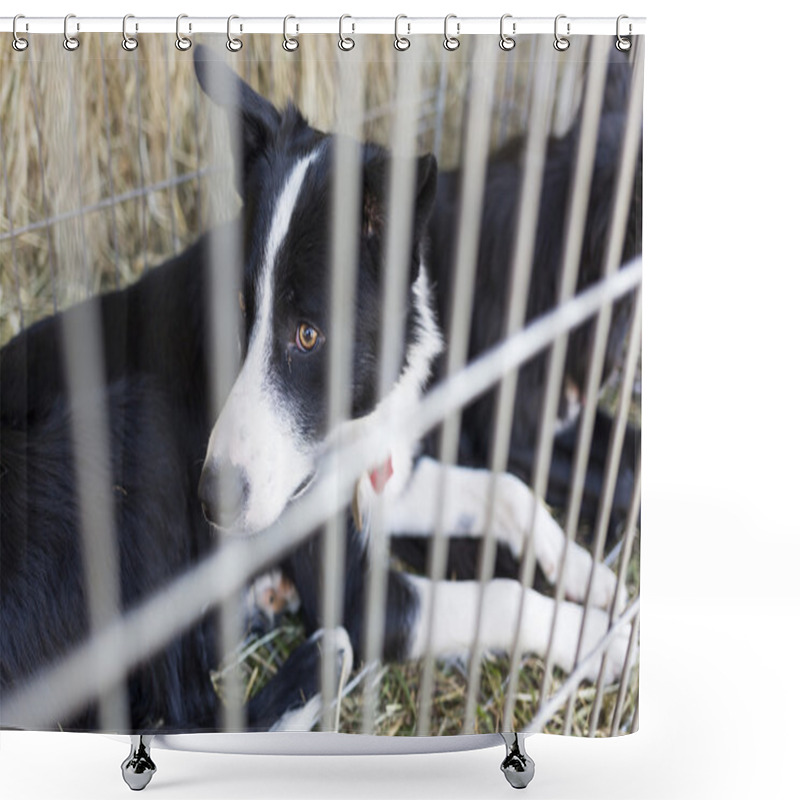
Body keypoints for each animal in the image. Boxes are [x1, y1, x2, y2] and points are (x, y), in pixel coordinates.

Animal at [0, 42, 636, 732]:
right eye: (241, 310)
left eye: (307, 334)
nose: (211, 501)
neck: (353, 420)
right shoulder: (357, 596)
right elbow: (499, 596)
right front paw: (597, 638)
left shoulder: (384, 477)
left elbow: (509, 491)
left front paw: (587, 574)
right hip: (138, 427)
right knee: (186, 714)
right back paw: (317, 663)